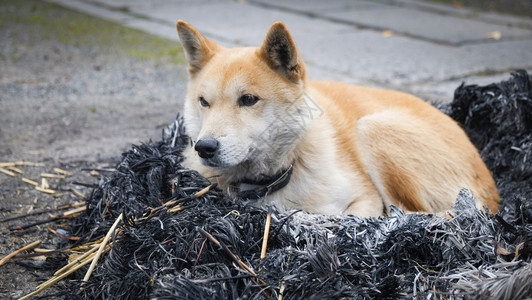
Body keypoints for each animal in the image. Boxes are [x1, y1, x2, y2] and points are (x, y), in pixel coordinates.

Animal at [176, 19, 498, 217]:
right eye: (204, 102)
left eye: (248, 100)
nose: (204, 147)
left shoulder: (366, 198)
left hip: (374, 128)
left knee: (418, 214)